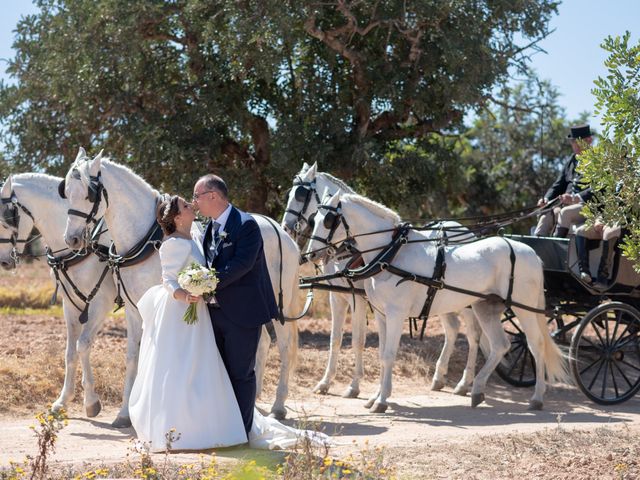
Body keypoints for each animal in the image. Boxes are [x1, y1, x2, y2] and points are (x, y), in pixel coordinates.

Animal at [0, 170, 117, 420]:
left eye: (6, 222)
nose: (4, 262)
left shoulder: (100, 303)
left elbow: (83, 345)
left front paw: (91, 401)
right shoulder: (70, 306)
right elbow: (70, 353)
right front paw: (63, 400)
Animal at [60, 152, 300, 422]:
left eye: (89, 194)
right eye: (66, 192)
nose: (72, 239)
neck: (147, 239)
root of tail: (281, 231)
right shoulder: (133, 309)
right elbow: (133, 357)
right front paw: (125, 413)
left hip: (279, 305)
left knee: (284, 346)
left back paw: (278, 405)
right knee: (260, 343)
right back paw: (255, 400)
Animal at [284, 163, 480, 396]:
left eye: (300, 194)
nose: (286, 226)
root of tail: (466, 231)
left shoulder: (358, 298)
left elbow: (358, 340)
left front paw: (355, 386)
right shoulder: (338, 297)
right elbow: (336, 339)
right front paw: (326, 382)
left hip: (465, 300)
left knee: (473, 334)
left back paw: (464, 382)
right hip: (442, 300)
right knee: (452, 329)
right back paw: (439, 377)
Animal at [308, 191, 568, 412]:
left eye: (328, 220)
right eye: (314, 218)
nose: (311, 254)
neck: (390, 253)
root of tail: (530, 252)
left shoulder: (395, 314)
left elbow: (388, 354)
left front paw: (381, 401)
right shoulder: (382, 314)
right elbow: (382, 354)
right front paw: (376, 396)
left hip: (524, 309)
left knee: (535, 344)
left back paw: (536, 398)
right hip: (484, 307)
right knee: (499, 345)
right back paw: (475, 390)